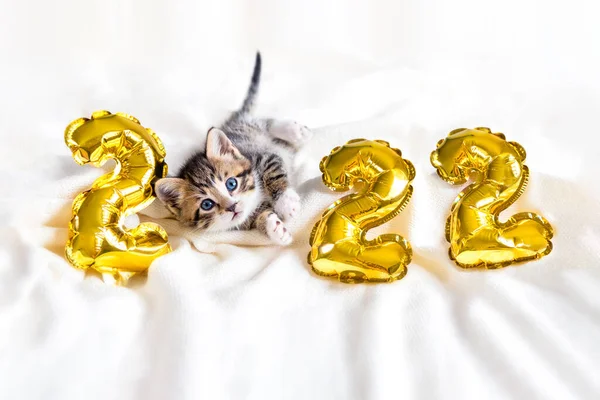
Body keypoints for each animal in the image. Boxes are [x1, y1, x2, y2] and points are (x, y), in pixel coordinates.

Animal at [155, 51, 312, 245]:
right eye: (207, 204)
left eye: (231, 184)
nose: (232, 206)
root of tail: (233, 121)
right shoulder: (249, 216)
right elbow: (259, 217)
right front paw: (274, 228)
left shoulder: (263, 157)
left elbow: (273, 172)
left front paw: (286, 202)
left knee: (266, 123)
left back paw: (295, 131)